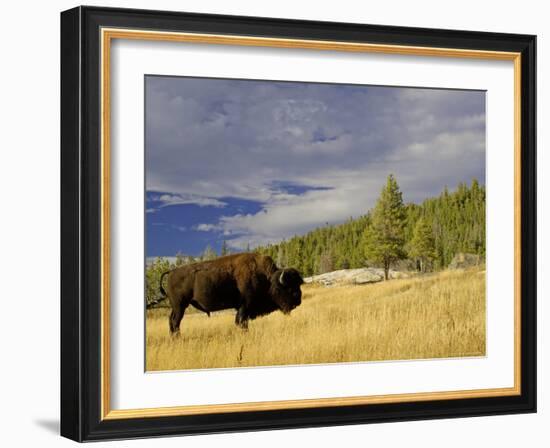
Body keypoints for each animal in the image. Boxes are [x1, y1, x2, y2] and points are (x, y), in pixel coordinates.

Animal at [160, 252, 306, 336]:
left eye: (298, 285)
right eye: (288, 288)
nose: (298, 301)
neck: (267, 278)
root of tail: (171, 272)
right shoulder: (245, 306)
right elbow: (241, 322)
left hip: (176, 307)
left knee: (171, 321)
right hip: (180, 306)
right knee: (175, 322)